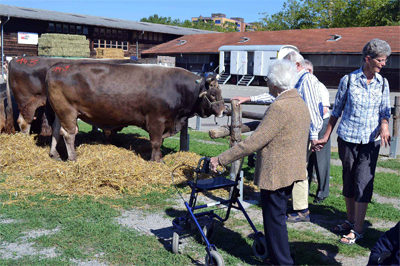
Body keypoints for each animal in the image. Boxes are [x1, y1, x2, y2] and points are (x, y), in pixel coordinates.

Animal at [46, 63, 225, 161]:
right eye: (213, 94)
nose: (224, 110)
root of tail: (56, 68)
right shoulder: (156, 120)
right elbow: (156, 142)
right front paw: (157, 160)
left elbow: (159, 142)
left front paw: (158, 157)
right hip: (68, 111)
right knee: (68, 134)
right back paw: (73, 157)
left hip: (59, 111)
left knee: (55, 130)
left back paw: (54, 154)